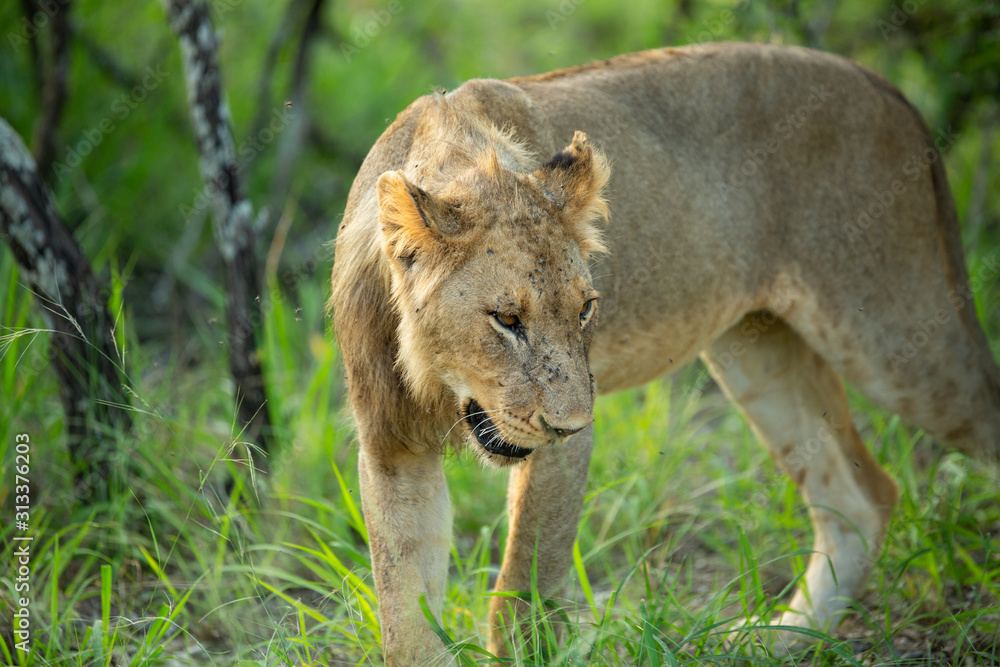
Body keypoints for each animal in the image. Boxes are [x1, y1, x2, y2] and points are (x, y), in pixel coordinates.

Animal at [329, 42, 1000, 665]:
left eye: (585, 310)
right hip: (758, 353)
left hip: (898, 334)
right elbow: (404, 611)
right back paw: (775, 639)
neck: (437, 380)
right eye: (507, 320)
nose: (569, 422)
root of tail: (881, 84)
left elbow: (524, 587)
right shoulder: (392, 448)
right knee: (863, 498)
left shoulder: (565, 440)